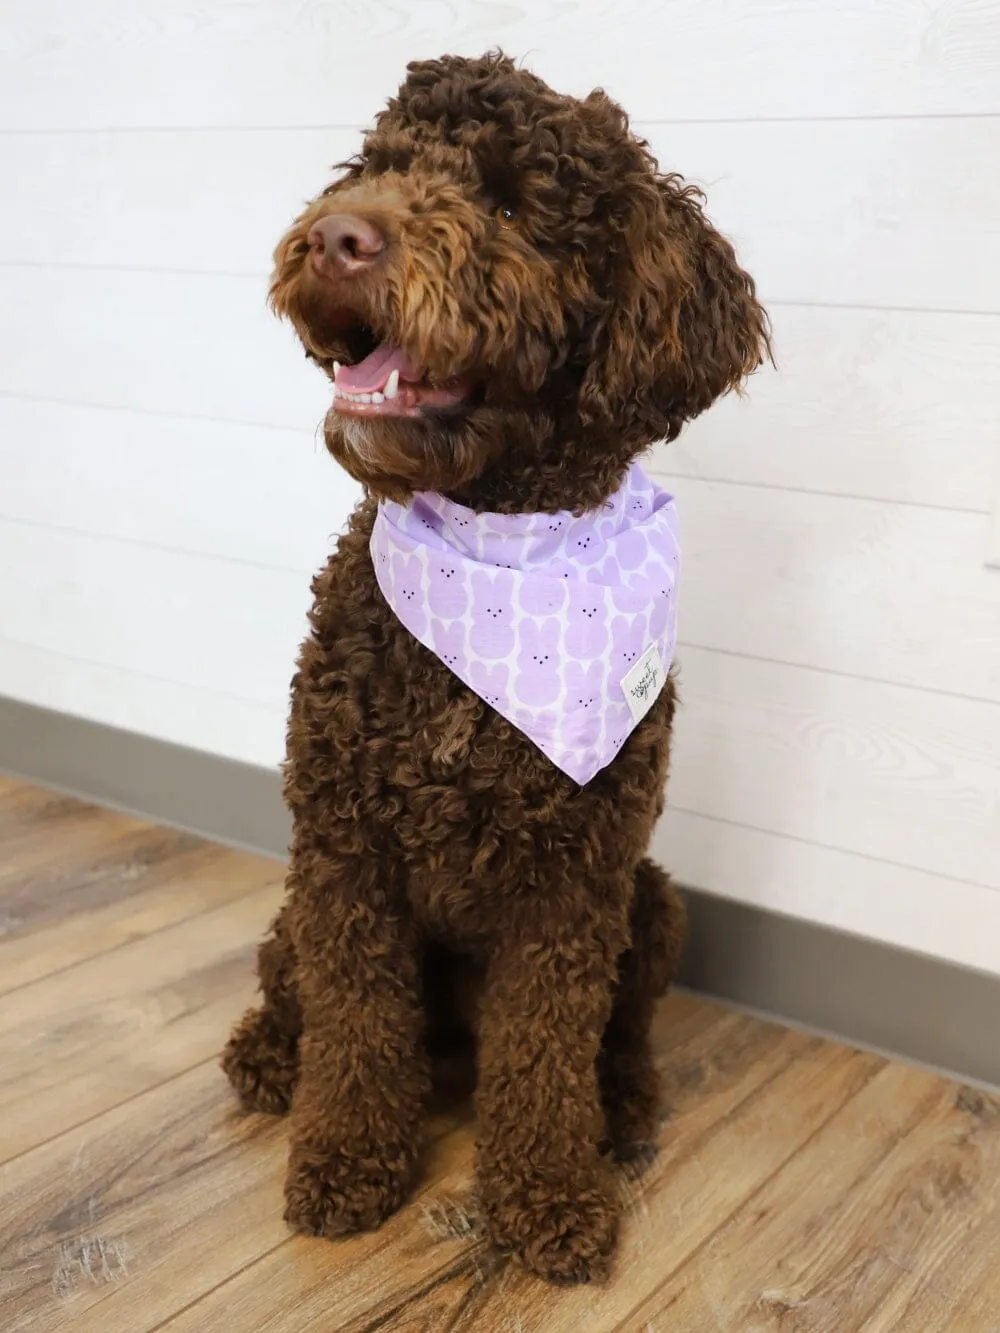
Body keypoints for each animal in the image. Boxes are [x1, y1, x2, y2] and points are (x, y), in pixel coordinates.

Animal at [222, 49, 773, 1279]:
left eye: (515, 203)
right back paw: (270, 1055)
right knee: (297, 987)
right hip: (299, 897)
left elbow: (544, 1054)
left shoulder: (574, 884)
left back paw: (622, 1107)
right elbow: (358, 1025)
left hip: (652, 902)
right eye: (375, 166)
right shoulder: (345, 855)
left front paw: (547, 1198)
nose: (336, 236)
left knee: (615, 1034)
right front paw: (345, 1161)